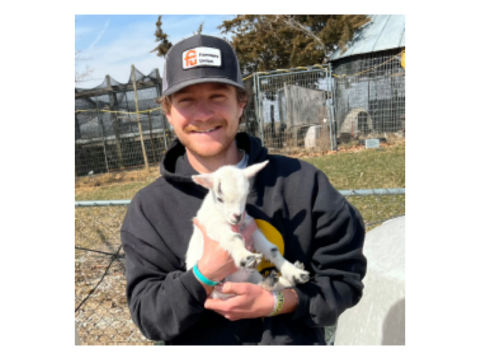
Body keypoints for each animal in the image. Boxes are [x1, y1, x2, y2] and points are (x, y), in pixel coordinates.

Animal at [186, 162, 310, 300]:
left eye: (245, 196)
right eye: (220, 199)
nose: (237, 216)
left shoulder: (250, 228)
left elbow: (272, 249)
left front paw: (296, 274)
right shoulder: (214, 225)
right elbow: (234, 237)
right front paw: (245, 257)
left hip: (252, 275)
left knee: (260, 286)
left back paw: (275, 280)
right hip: (219, 290)